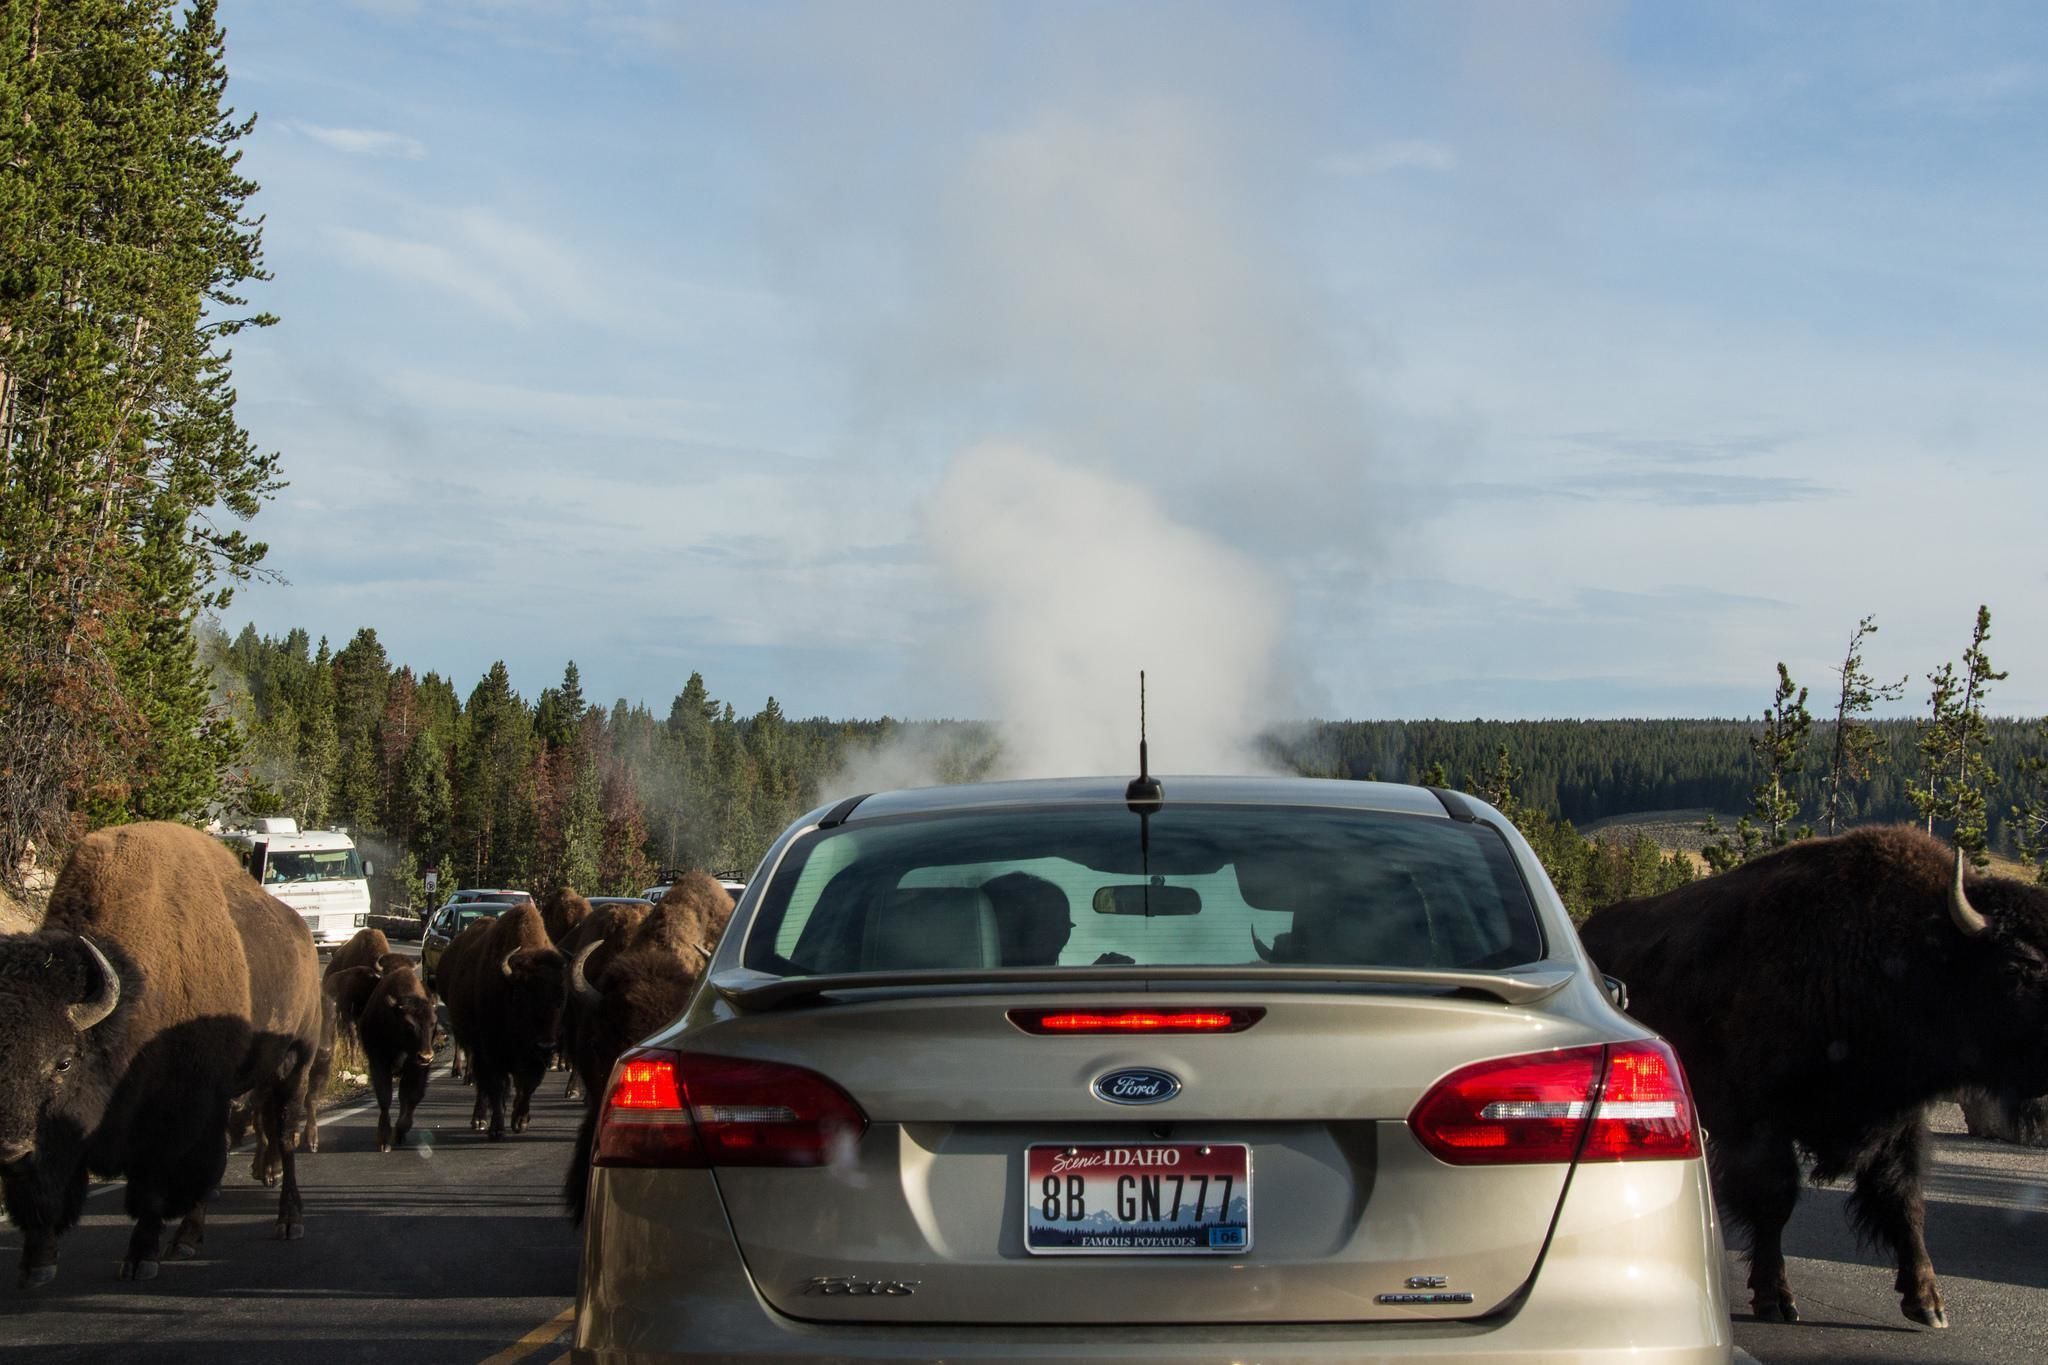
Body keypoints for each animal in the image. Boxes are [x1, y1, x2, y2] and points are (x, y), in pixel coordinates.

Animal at [0, 822, 322, 1286]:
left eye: (63, 1061)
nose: (9, 1152)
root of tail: (303, 937)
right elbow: (48, 1191)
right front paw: (37, 1263)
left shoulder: (168, 1115)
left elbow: (152, 1187)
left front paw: (140, 1258)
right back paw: (187, 1238)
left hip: (294, 1065)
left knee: (282, 1133)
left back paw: (288, 1220)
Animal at [439, 904, 565, 1140]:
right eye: (522, 997)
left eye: (561, 998)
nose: (546, 1046)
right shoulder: (491, 1052)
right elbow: (496, 1085)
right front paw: (496, 1128)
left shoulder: (533, 1058)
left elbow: (528, 1085)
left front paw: (520, 1121)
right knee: (483, 1085)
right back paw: (479, 1119)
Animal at [1579, 824, 2048, 1329]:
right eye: (2015, 969)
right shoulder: (1759, 1120)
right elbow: (1775, 1199)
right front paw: (1775, 1299)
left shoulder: (1897, 1121)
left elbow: (1904, 1200)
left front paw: (1928, 1304)